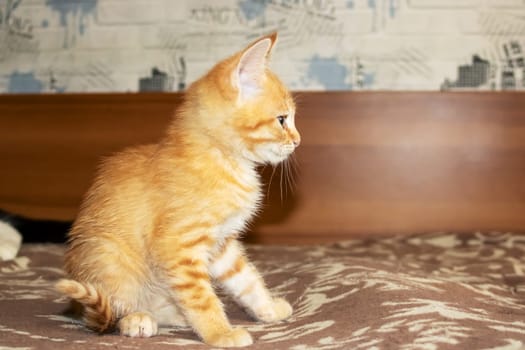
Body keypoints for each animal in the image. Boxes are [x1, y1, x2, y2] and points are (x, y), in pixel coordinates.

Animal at [55, 33, 300, 348]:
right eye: (282, 119)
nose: (298, 140)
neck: (224, 158)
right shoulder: (177, 247)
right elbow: (201, 297)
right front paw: (220, 333)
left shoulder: (221, 246)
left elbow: (247, 279)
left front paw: (267, 308)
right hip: (109, 255)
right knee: (115, 303)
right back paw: (136, 318)